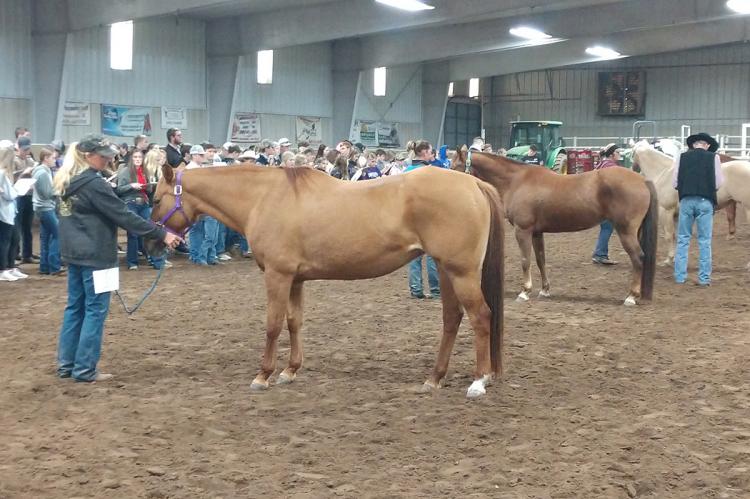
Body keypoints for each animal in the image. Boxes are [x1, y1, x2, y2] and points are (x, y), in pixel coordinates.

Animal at [148, 166, 506, 400]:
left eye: (155, 199)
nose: (153, 244)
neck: (264, 197)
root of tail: (474, 183)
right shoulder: (295, 279)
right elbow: (294, 322)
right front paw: (289, 371)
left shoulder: (278, 275)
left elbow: (273, 325)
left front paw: (263, 375)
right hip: (446, 270)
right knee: (452, 319)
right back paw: (434, 378)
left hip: (461, 272)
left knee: (480, 317)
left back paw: (478, 381)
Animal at [452, 148, 656, 306]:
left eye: (455, 167)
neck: (516, 181)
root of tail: (642, 180)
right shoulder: (536, 233)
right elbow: (540, 260)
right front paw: (544, 290)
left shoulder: (522, 230)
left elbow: (525, 260)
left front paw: (524, 292)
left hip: (626, 231)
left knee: (638, 258)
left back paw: (631, 297)